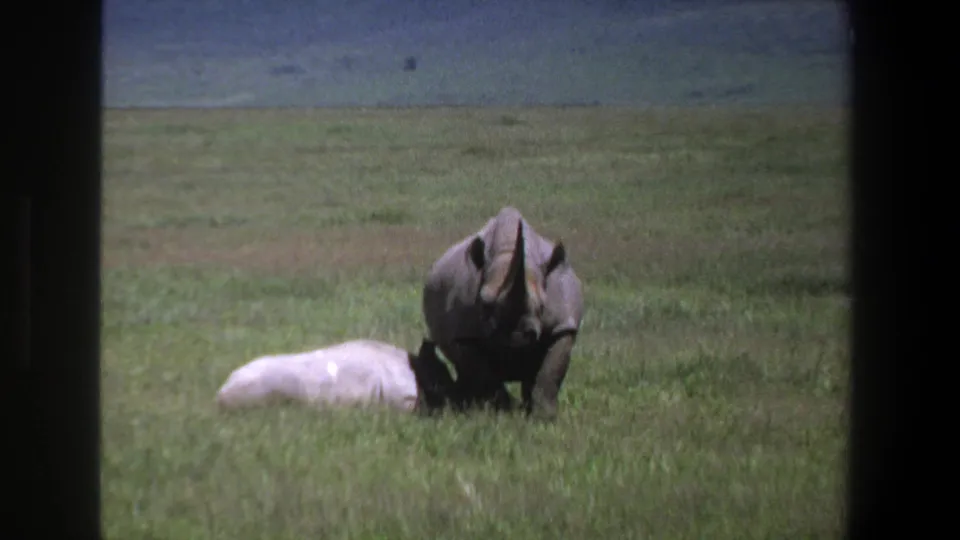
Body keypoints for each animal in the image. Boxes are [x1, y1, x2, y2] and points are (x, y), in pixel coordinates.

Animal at [422, 206, 584, 420]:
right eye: (484, 304)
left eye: (542, 306)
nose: (516, 336)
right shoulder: (463, 333)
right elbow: (482, 373)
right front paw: (501, 414)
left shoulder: (563, 325)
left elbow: (550, 373)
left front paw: (544, 418)